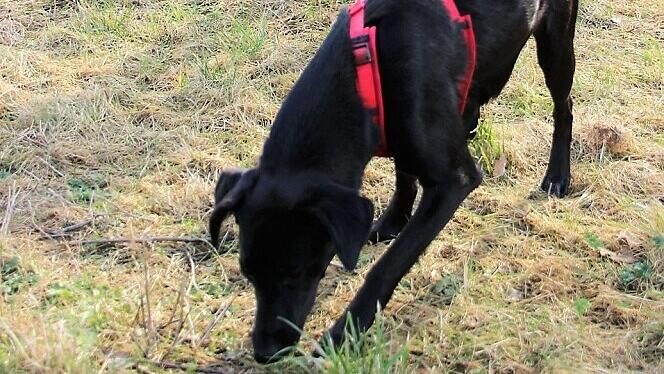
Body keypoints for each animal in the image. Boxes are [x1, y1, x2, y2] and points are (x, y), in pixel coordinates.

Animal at [209, 0, 576, 362]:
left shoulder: (452, 182)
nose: (264, 352)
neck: (367, 62)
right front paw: (391, 223)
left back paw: (557, 175)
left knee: (564, 105)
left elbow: (387, 267)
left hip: (555, 42)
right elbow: (404, 176)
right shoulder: (395, 123)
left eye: (295, 273)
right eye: (248, 272)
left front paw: (345, 332)